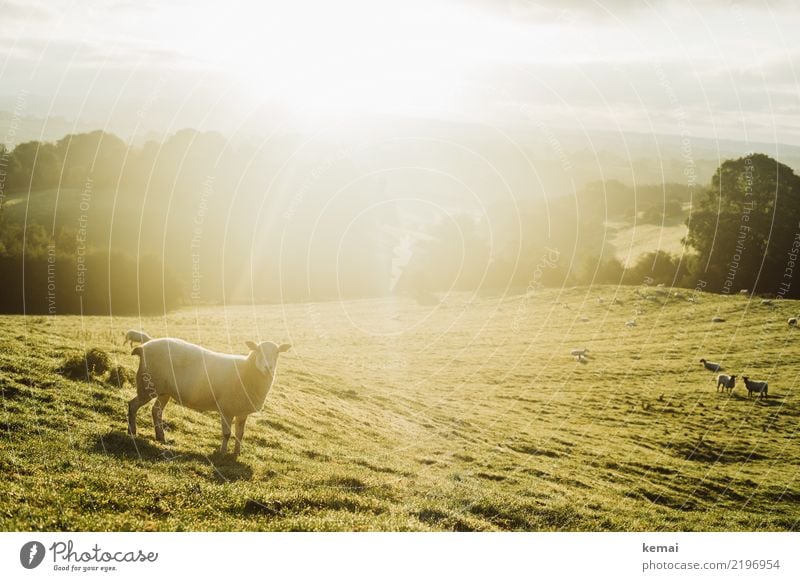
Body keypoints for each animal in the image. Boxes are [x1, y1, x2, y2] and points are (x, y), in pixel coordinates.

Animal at [130, 338, 292, 456]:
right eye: (257, 350)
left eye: (277, 353)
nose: (268, 367)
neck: (246, 371)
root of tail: (143, 347)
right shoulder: (227, 408)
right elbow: (227, 434)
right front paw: (222, 452)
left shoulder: (242, 411)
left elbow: (240, 434)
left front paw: (237, 453)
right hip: (147, 385)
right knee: (132, 405)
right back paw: (132, 431)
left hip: (164, 392)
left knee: (156, 411)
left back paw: (160, 437)